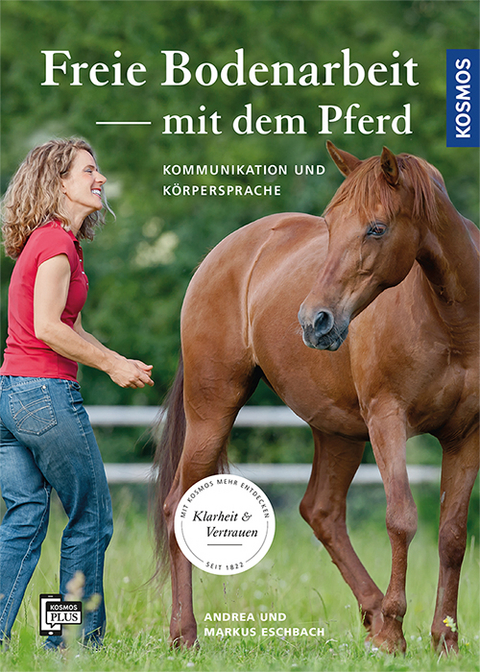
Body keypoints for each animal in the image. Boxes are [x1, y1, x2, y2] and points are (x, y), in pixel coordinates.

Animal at [153, 142, 479, 654]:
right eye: (330, 224)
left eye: (376, 227)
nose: (314, 320)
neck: (453, 322)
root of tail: (224, 253)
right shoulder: (388, 420)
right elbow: (401, 519)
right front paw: (396, 631)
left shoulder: (465, 435)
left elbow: (452, 535)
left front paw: (443, 638)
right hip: (213, 408)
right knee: (177, 506)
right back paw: (184, 635)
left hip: (338, 431)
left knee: (321, 511)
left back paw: (374, 615)